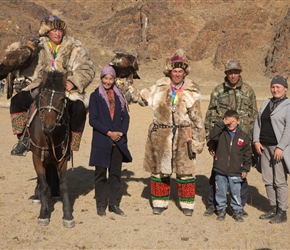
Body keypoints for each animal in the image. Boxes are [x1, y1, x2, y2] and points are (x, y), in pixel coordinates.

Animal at [28, 71, 75, 229]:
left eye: (61, 99)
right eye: (42, 96)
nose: (48, 126)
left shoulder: (62, 159)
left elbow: (64, 185)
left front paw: (67, 215)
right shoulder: (37, 158)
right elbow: (43, 185)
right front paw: (44, 214)